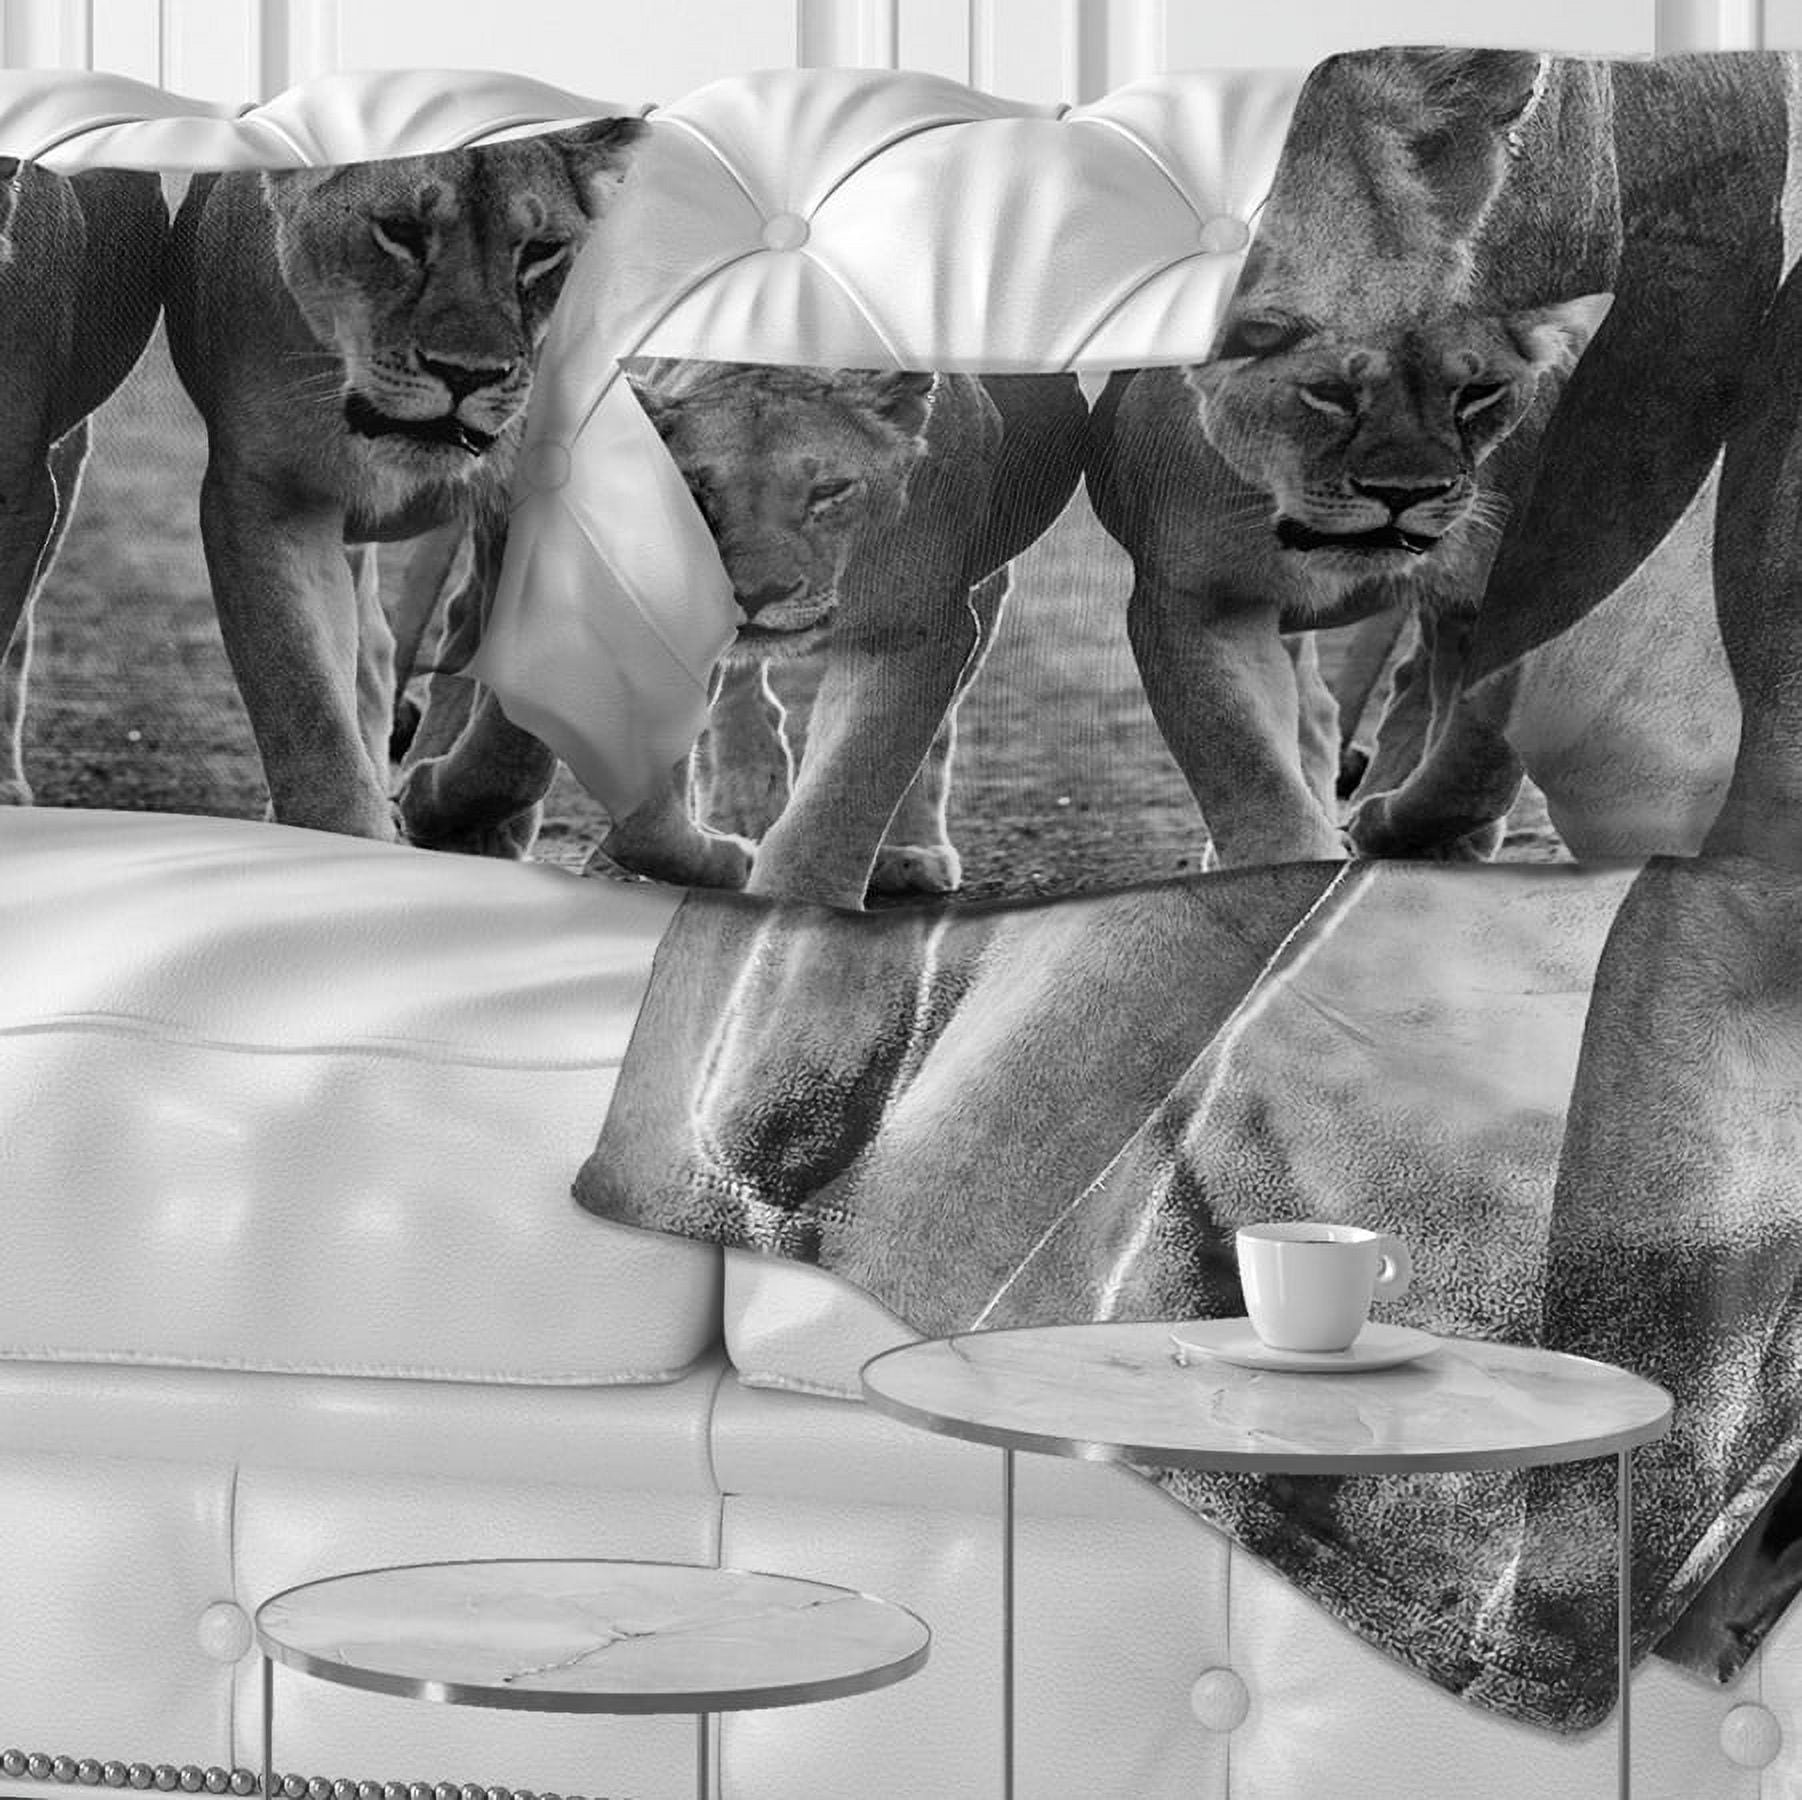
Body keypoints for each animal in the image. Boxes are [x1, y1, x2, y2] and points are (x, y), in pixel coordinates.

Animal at [163, 121, 642, 849]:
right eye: (400, 232)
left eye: (540, 252)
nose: (467, 375)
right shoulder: (270, 498)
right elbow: (306, 705)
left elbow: (519, 742)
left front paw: (442, 806)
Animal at [596, 359, 1088, 908]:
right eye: (696, 490)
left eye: (828, 492)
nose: (754, 593)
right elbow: (643, 823)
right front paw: (728, 857)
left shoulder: (907, 629)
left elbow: (843, 793)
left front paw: (795, 905)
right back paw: (742, 809)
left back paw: (908, 853)